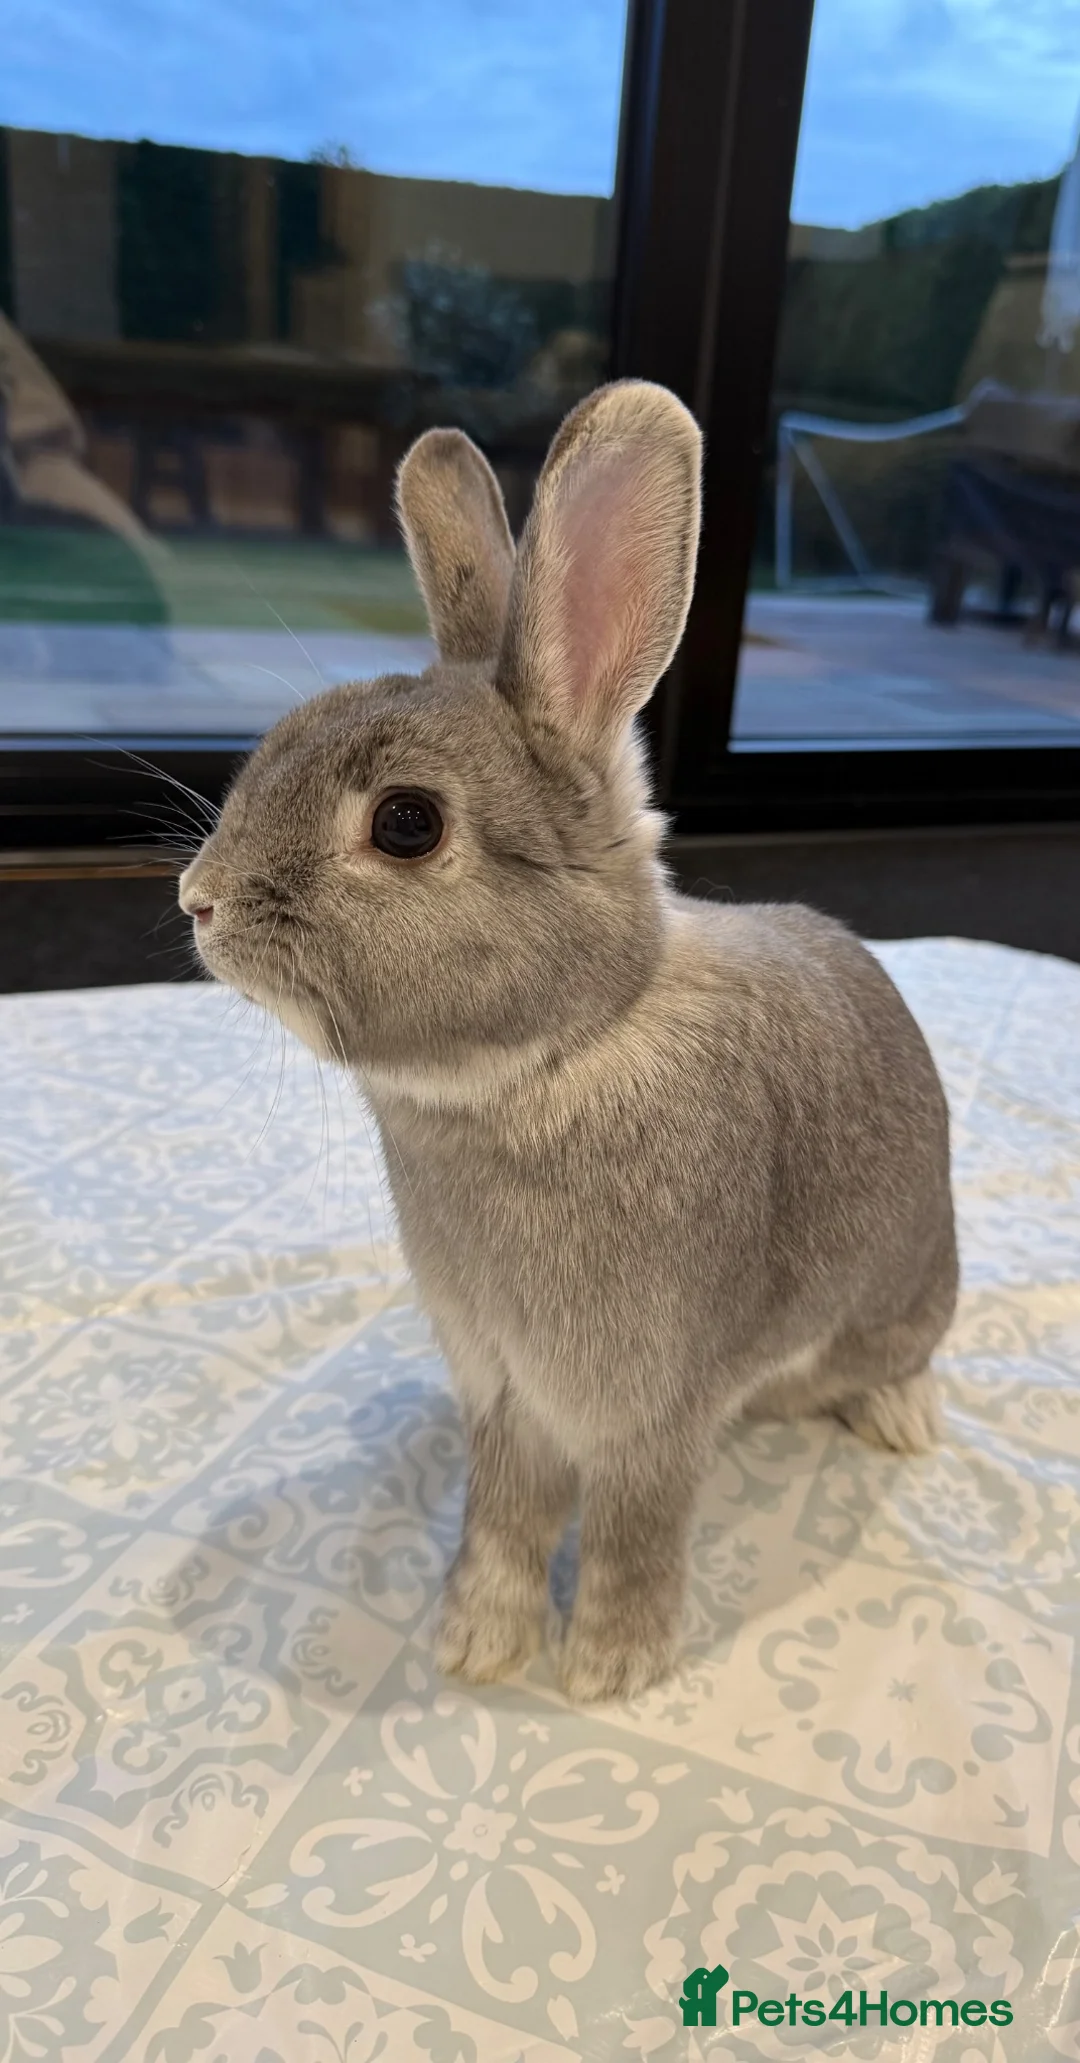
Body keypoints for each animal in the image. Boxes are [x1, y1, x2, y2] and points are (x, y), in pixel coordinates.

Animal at [179, 379, 957, 1704]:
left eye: (405, 823)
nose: (197, 900)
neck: (548, 1058)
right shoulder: (504, 1392)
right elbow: (503, 1517)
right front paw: (480, 1642)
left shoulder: (648, 1409)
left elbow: (636, 1529)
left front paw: (608, 1665)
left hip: (913, 1290)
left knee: (899, 1360)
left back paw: (901, 1421)